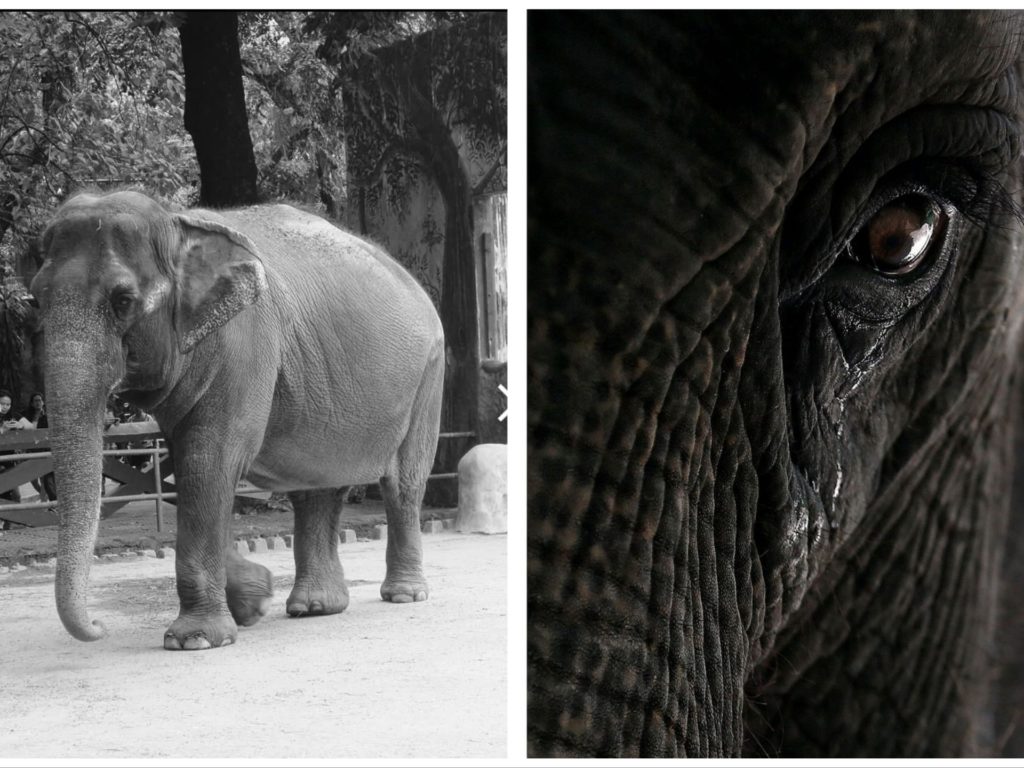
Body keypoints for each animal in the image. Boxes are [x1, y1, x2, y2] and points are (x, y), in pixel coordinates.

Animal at [29, 189, 440, 651]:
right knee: (317, 485)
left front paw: (196, 640)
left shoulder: (246, 342)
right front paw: (254, 600)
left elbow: (209, 460)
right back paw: (314, 607)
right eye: (35, 299)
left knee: (403, 482)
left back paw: (404, 595)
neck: (177, 223)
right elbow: (195, 465)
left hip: (428, 375)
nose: (100, 626)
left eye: (123, 301)